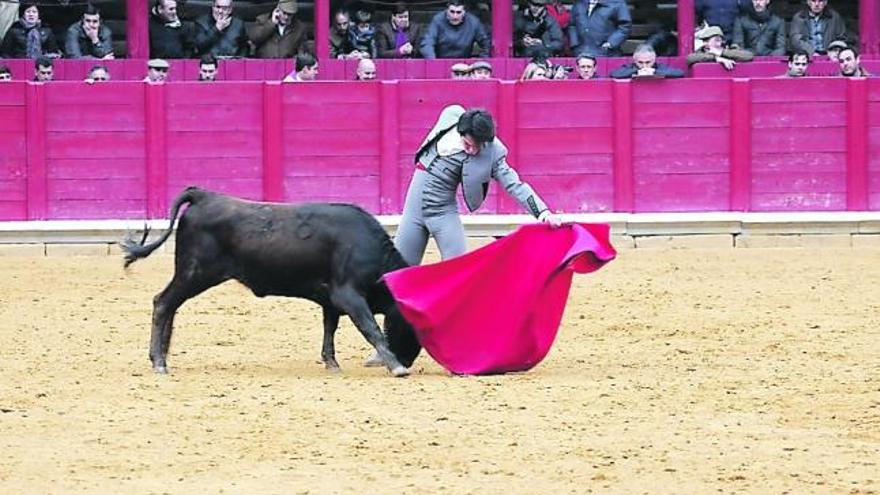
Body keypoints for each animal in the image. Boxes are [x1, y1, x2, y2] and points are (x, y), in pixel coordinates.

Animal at [121, 188, 422, 378]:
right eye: (413, 326)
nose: (407, 360)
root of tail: (204, 196)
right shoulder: (348, 295)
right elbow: (370, 328)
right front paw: (395, 367)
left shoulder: (331, 300)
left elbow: (330, 329)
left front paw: (331, 363)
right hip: (194, 272)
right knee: (163, 303)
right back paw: (159, 362)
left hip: (191, 274)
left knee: (171, 305)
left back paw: (162, 355)